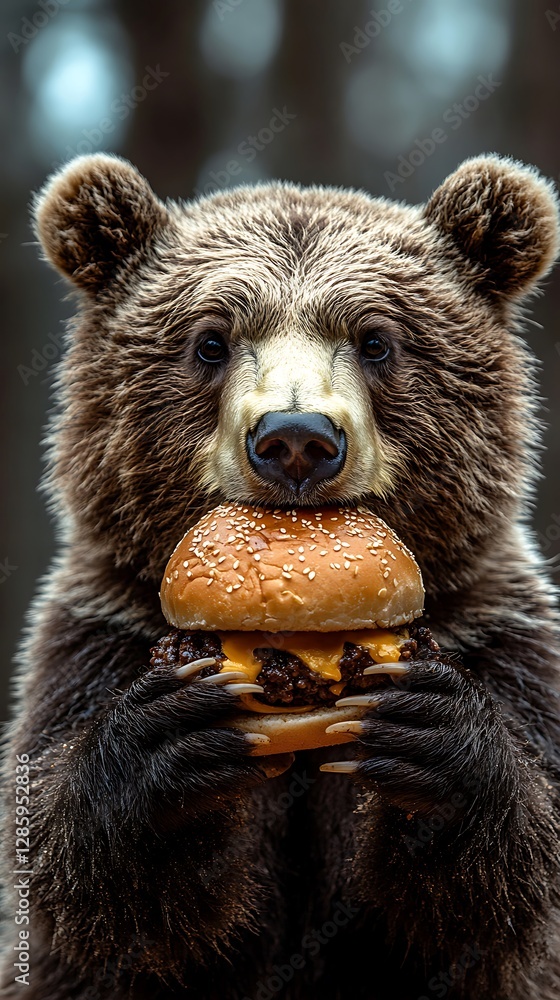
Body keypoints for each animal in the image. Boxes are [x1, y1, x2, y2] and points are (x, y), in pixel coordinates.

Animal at [0, 151, 559, 1000]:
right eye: (210, 341)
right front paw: (168, 741)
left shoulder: (498, 633)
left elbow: (510, 884)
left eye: (375, 340)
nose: (296, 439)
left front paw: (434, 740)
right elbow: (79, 881)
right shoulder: (95, 638)